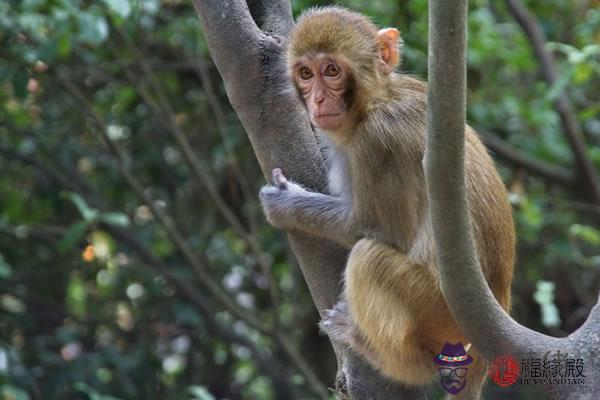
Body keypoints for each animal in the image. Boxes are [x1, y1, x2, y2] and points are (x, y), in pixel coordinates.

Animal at [258, 5, 516, 396]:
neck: (375, 100)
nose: (318, 101)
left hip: (435, 312)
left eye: (331, 70)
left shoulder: (377, 143)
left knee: (367, 257)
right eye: (305, 74)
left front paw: (285, 205)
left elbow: (373, 228)